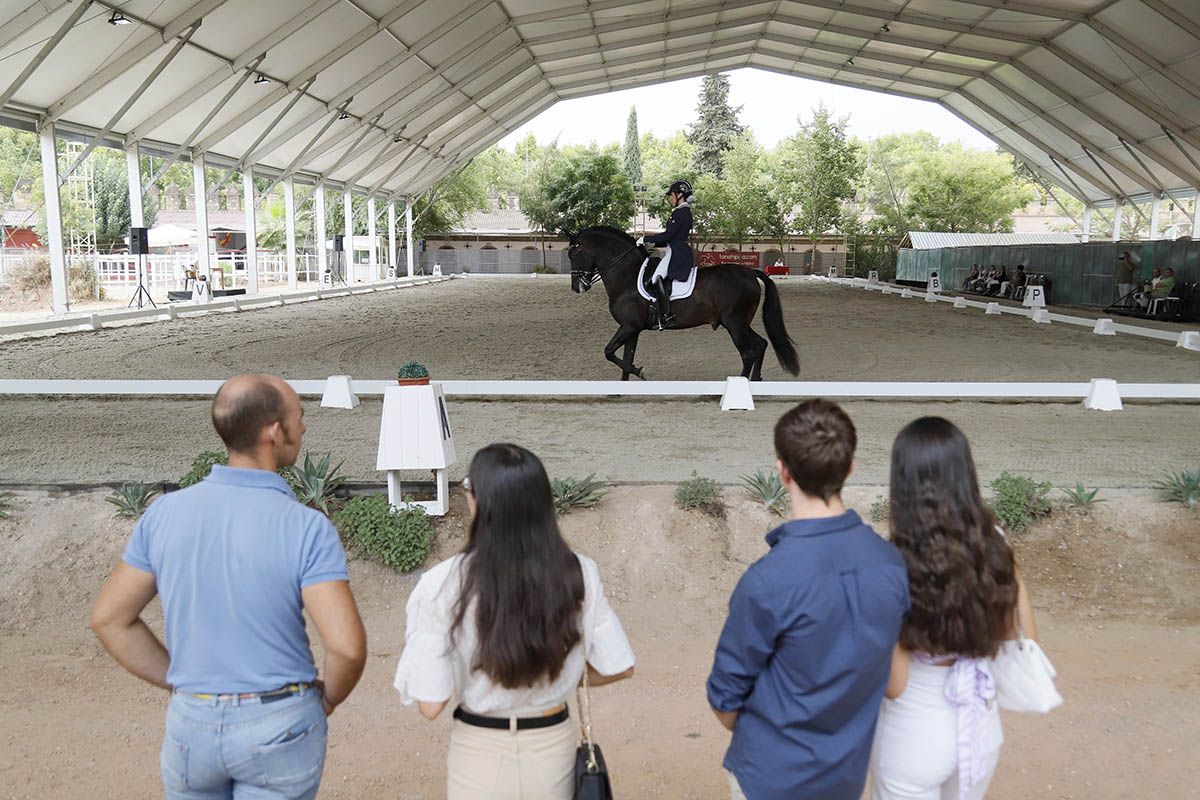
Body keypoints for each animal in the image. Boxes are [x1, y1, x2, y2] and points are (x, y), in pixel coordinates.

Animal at [568, 225, 801, 381]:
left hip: (734, 323)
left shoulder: (628, 327)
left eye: (573, 255)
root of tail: (750, 272)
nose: (577, 287)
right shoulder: (632, 329)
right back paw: (756, 381)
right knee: (761, 344)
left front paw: (641, 373)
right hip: (739, 323)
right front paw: (619, 391)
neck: (627, 275)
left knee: (748, 353)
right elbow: (626, 358)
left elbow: (609, 352)